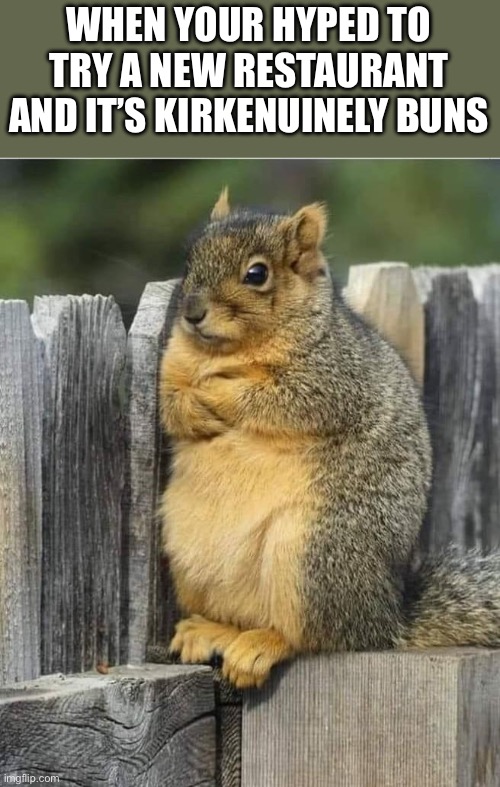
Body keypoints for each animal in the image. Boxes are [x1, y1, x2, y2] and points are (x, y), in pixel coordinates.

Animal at [158, 188, 500, 689]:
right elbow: (169, 404)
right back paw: (211, 630)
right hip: (189, 557)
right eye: (189, 258)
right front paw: (192, 407)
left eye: (257, 274)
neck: (226, 352)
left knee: (313, 636)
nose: (191, 313)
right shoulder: (171, 365)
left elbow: (275, 399)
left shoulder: (332, 377)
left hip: (312, 555)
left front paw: (217, 391)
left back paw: (263, 645)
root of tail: (385, 619)